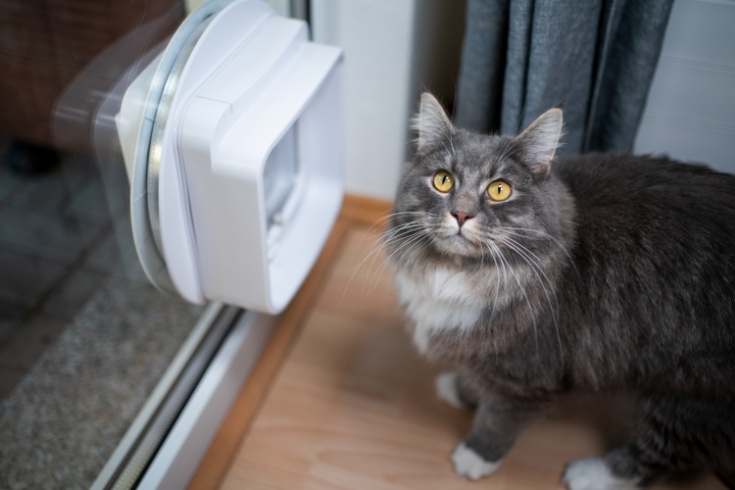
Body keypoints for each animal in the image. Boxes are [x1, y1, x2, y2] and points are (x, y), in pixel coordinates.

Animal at [388, 93, 732, 490]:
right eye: (443, 181)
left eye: (499, 190)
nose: (460, 215)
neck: (462, 274)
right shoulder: (487, 348)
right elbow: (478, 377)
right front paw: (462, 390)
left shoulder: (528, 374)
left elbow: (499, 419)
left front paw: (475, 457)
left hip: (688, 395)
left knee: (658, 456)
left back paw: (591, 474)